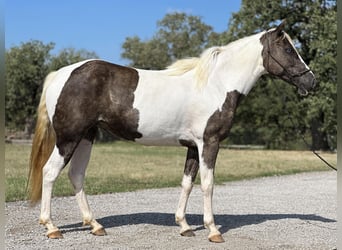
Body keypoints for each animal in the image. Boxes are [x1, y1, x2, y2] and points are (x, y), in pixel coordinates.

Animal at [28, 20, 316, 243]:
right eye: (288, 48)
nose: (311, 81)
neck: (216, 85)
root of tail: (61, 74)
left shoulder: (193, 146)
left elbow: (187, 183)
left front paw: (185, 226)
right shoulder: (209, 143)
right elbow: (208, 184)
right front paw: (213, 230)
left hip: (86, 137)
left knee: (76, 175)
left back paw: (95, 225)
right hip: (68, 138)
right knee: (50, 172)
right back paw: (51, 227)